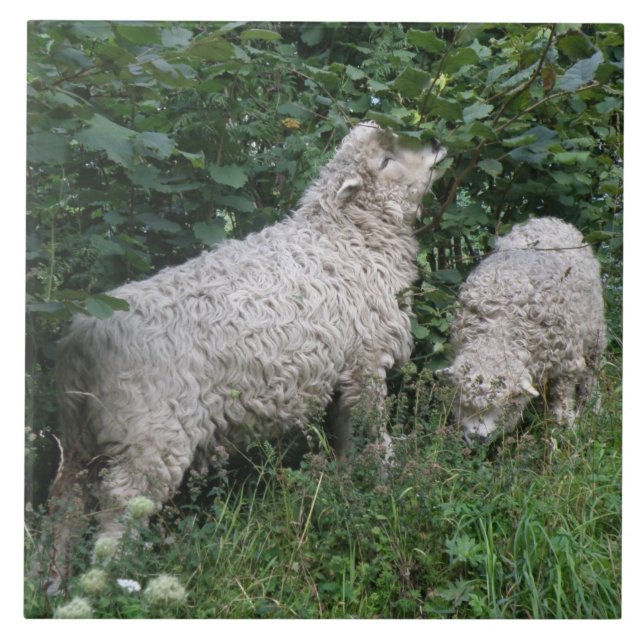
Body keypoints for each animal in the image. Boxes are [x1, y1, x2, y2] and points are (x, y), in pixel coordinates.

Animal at [45, 122, 446, 586]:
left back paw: (53, 582)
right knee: (120, 505)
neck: (346, 237)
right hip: (148, 435)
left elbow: (346, 433)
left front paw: (349, 482)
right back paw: (112, 580)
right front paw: (385, 480)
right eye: (385, 160)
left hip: (80, 437)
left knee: (66, 503)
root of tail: (80, 337)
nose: (436, 143)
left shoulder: (345, 368)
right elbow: (373, 432)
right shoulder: (366, 362)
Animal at [440, 216, 606, 446]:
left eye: (501, 405)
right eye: (463, 402)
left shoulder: (567, 365)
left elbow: (562, 400)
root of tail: (547, 219)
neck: (498, 331)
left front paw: (566, 430)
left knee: (591, 376)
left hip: (595, 336)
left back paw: (593, 409)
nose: (477, 438)